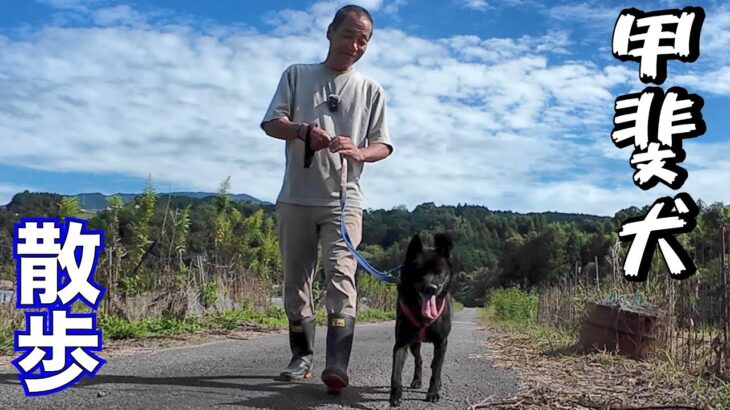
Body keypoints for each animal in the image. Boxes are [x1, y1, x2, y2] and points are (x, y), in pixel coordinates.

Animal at [386, 232, 450, 406]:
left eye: (440, 273)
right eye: (419, 272)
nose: (432, 288)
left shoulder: (442, 342)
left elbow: (437, 370)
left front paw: (433, 393)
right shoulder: (401, 343)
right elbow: (396, 372)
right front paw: (395, 395)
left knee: (436, 364)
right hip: (414, 344)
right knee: (419, 360)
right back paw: (417, 380)